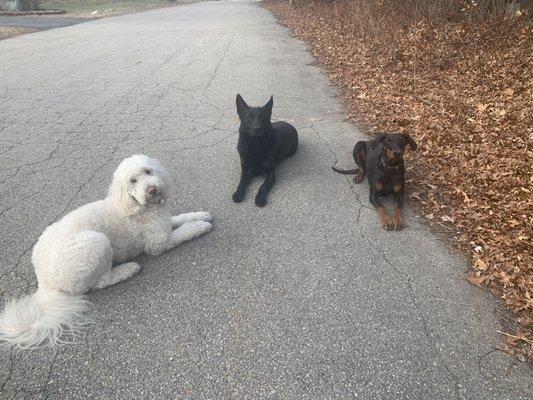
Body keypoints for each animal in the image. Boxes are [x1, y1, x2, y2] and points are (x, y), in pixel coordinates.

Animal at [0, 155, 212, 348]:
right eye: (133, 181)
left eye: (148, 171)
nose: (151, 189)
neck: (135, 205)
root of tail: (43, 283)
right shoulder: (159, 242)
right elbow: (184, 231)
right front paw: (200, 225)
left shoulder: (164, 223)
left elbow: (180, 218)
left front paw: (200, 214)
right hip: (96, 244)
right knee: (100, 282)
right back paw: (128, 269)